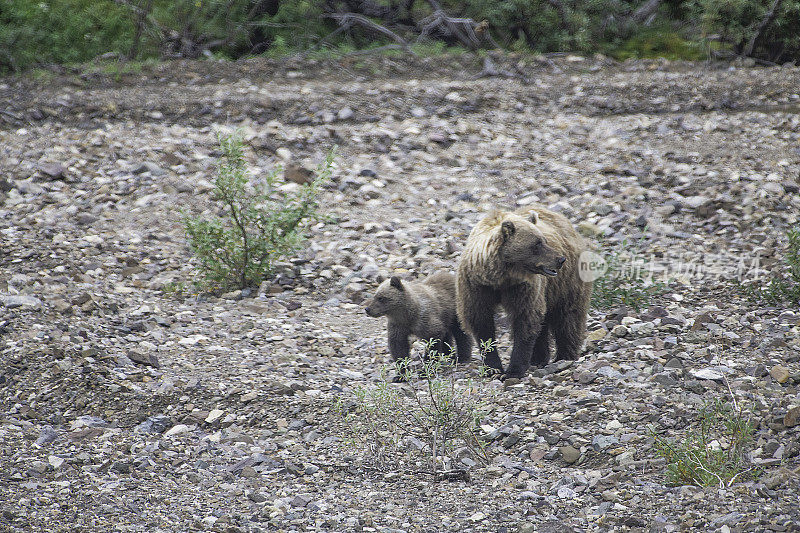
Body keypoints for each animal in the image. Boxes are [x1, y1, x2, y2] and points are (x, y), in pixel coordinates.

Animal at [456, 205, 592, 378]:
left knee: (567, 316)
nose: (560, 259)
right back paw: (539, 358)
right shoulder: (477, 286)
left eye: (544, 240)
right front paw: (493, 367)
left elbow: (526, 318)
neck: (500, 277)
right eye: (537, 244)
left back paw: (564, 356)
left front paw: (514, 370)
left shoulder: (523, 287)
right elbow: (481, 322)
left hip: (566, 282)